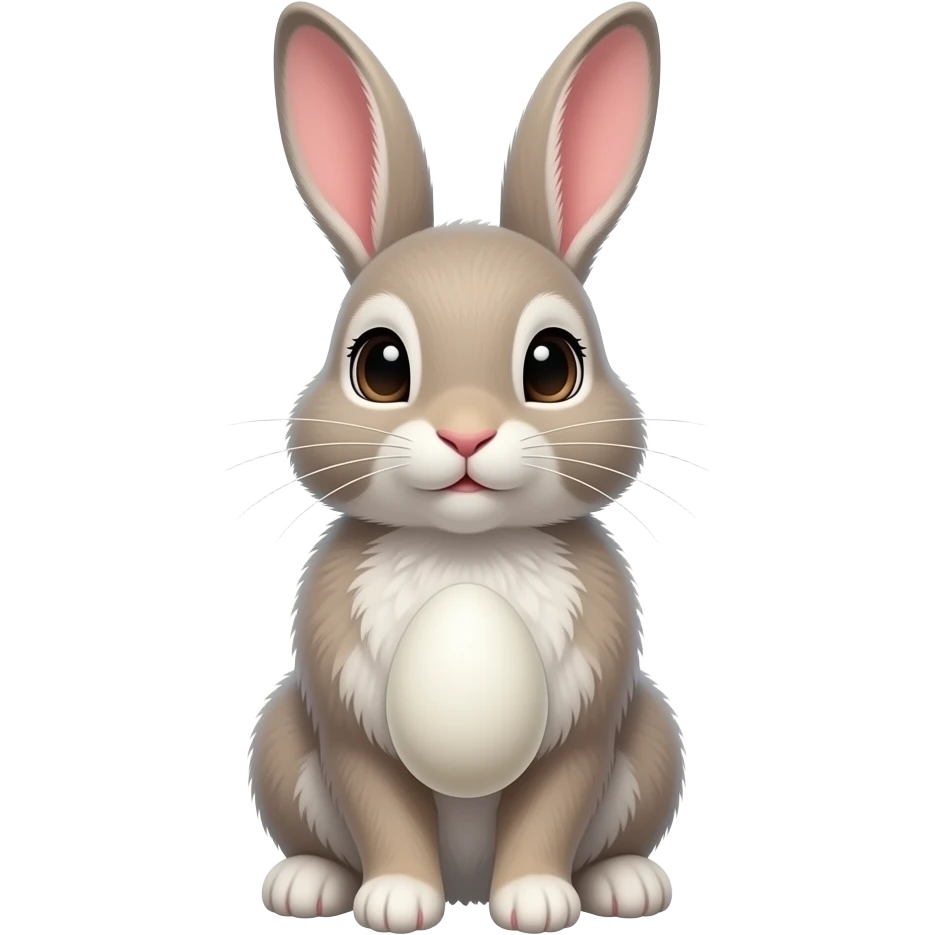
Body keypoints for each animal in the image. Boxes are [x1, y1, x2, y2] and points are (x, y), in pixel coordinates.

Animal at [252, 2, 683, 931]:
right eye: (378, 365)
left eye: (553, 365)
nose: (465, 436)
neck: (466, 549)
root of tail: (466, 884)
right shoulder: (345, 723)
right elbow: (381, 806)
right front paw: (397, 901)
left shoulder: (587, 722)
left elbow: (551, 806)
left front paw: (535, 901)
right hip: (279, 737)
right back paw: (308, 883)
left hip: (652, 737)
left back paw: (622, 883)